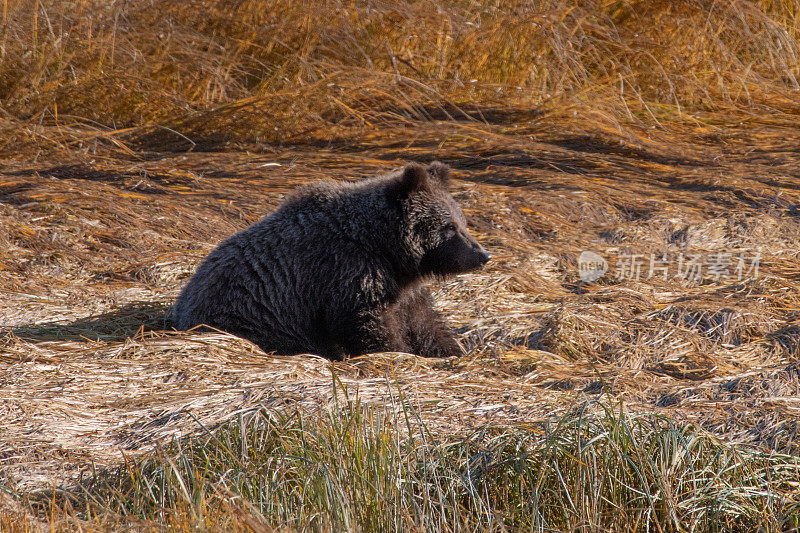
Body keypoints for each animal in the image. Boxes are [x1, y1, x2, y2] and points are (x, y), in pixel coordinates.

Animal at [173, 160, 490, 360]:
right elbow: (367, 322)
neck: (382, 245)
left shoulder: (400, 286)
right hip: (254, 319)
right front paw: (396, 352)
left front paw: (452, 351)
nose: (482, 255)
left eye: (463, 223)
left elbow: (424, 321)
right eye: (448, 227)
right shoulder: (346, 270)